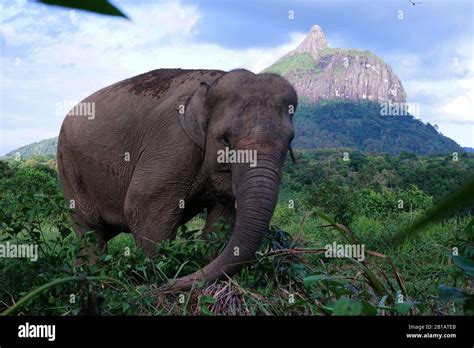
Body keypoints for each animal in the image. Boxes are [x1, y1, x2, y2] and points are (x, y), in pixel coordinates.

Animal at [57, 66, 296, 290]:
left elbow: (224, 216)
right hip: (68, 167)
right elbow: (143, 207)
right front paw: (154, 278)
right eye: (225, 140)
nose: (174, 281)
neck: (213, 83)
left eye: (290, 140)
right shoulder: (172, 143)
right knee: (90, 231)